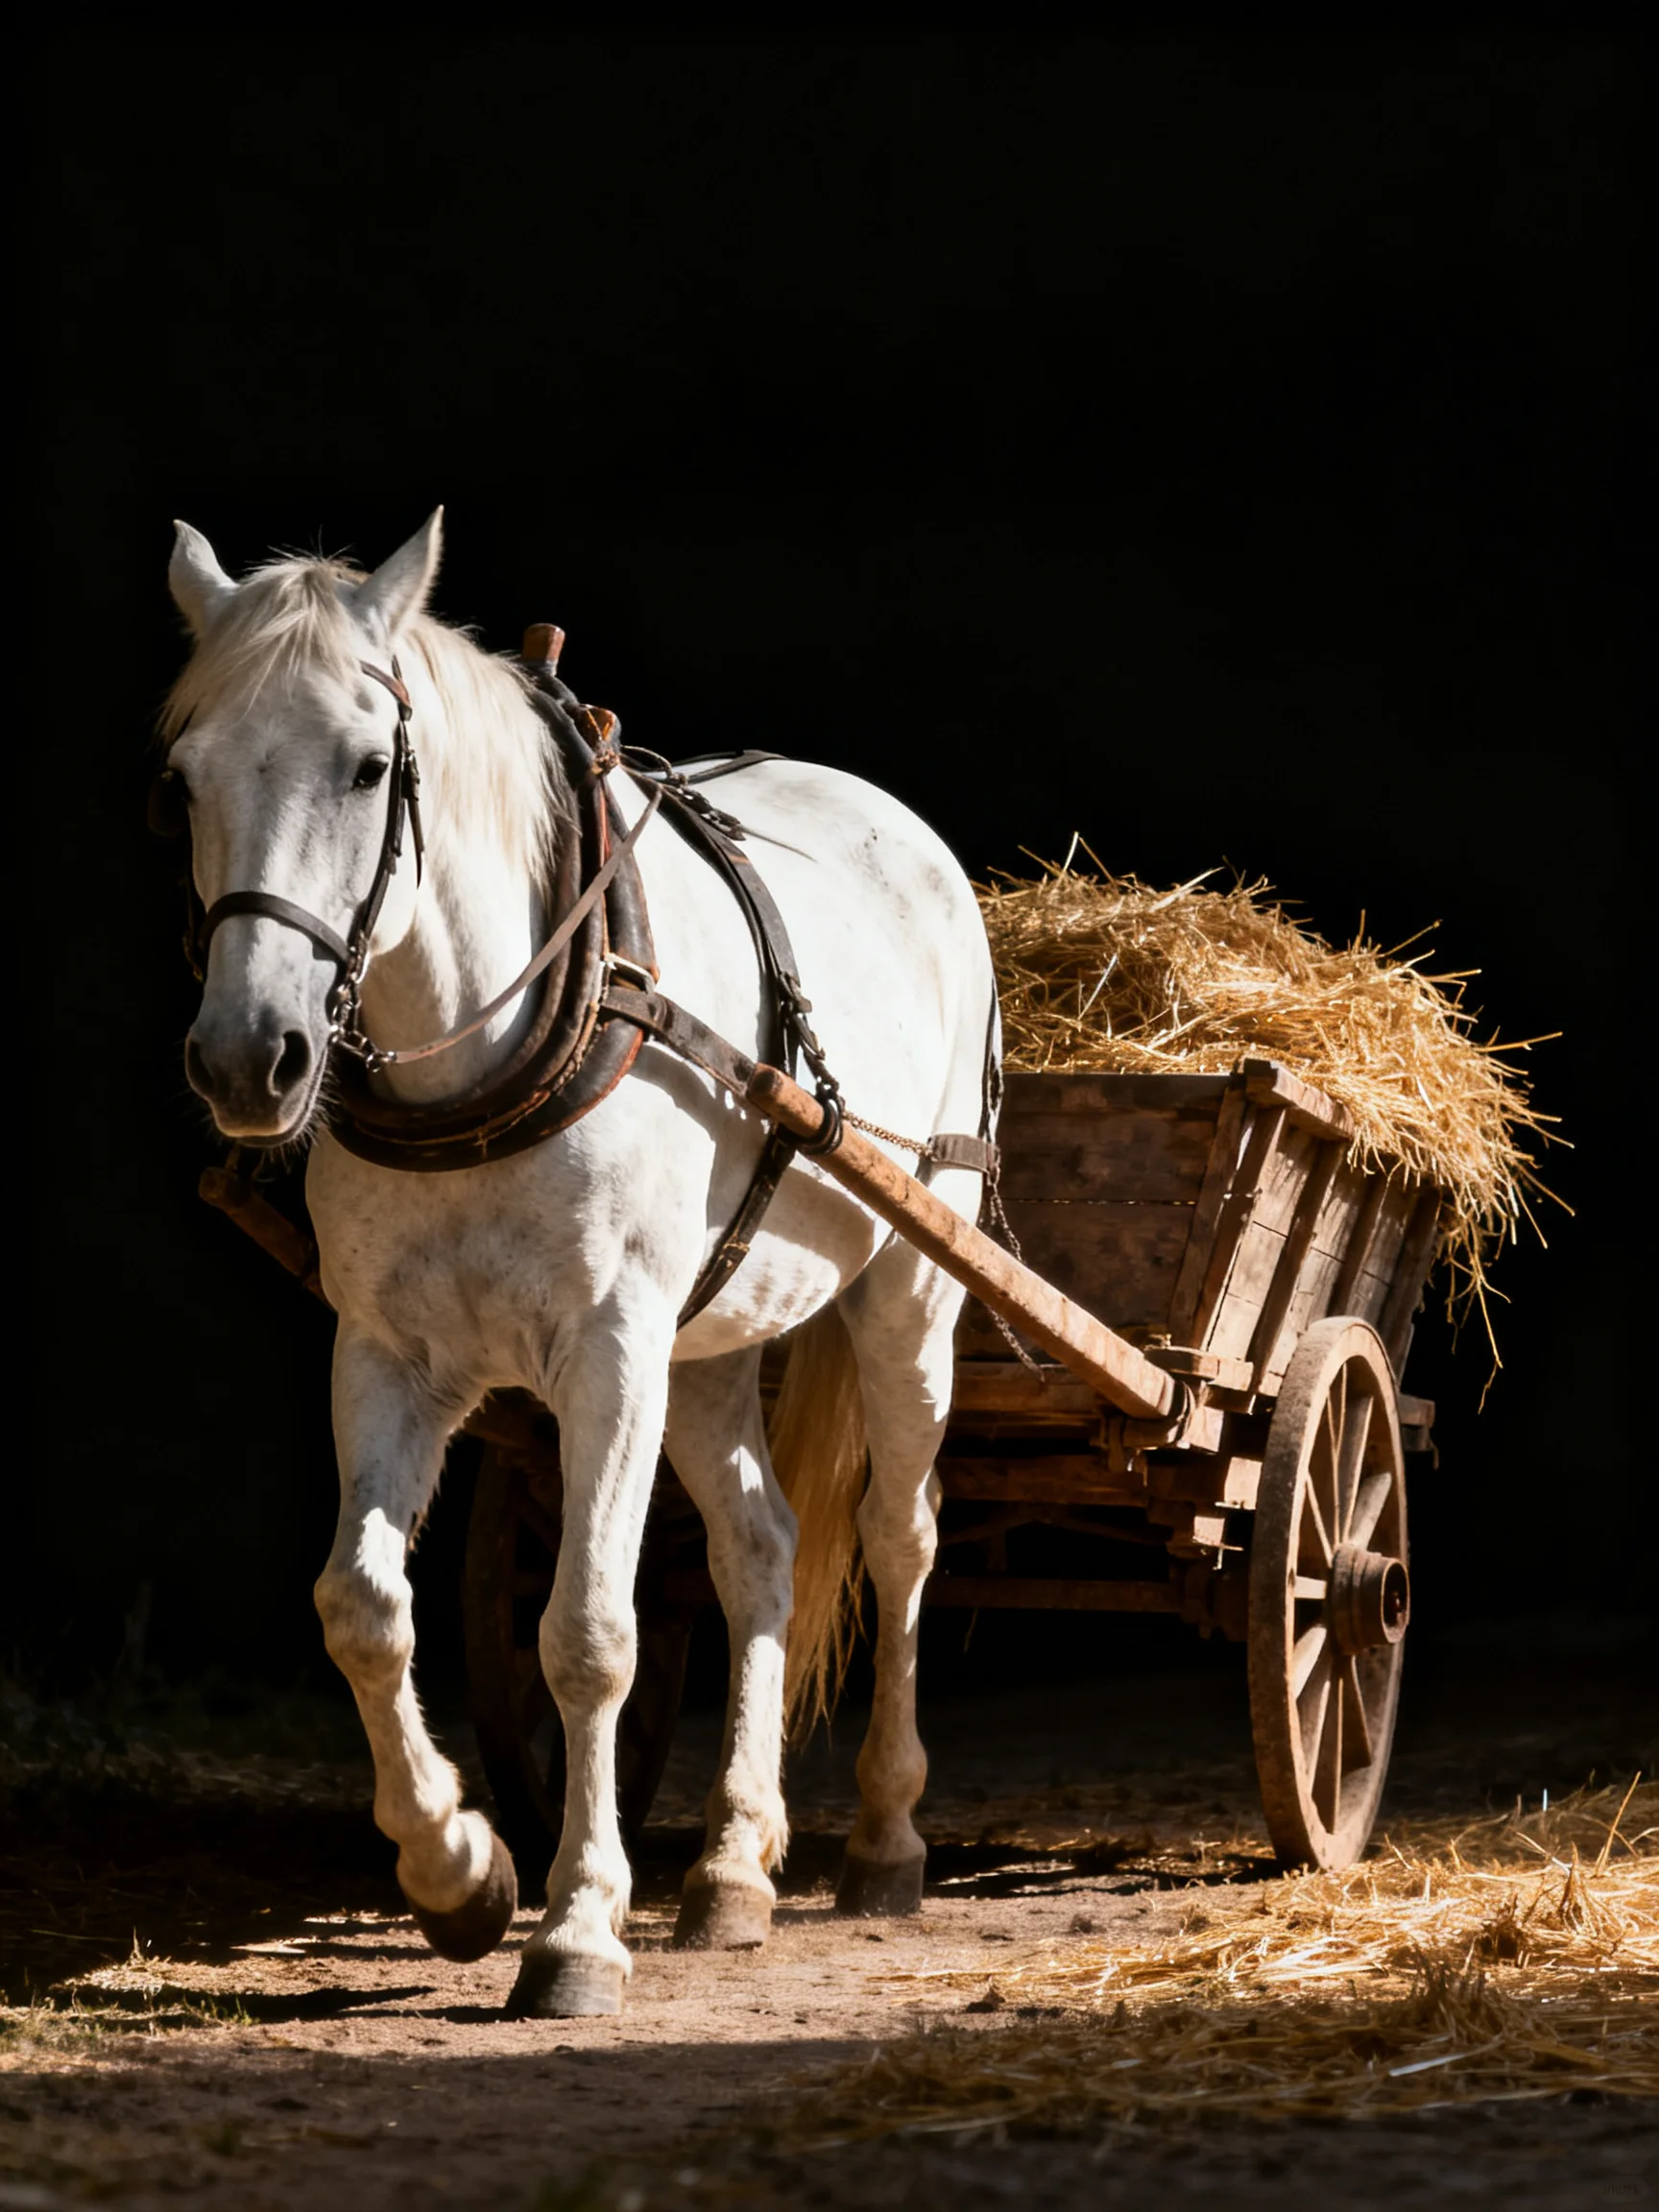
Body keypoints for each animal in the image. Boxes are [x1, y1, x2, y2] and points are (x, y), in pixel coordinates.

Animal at [159, 510, 999, 2017]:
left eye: (369, 766)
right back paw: (734, 1866)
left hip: (911, 1285)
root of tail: (893, 820)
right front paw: (458, 1869)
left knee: (901, 1536)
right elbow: (362, 1609)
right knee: (761, 1548)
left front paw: (577, 1927)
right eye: (183, 777)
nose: (250, 1059)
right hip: (709, 1338)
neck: (482, 1059)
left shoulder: (608, 1353)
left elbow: (590, 1634)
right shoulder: (388, 1353)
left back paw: (887, 1837)